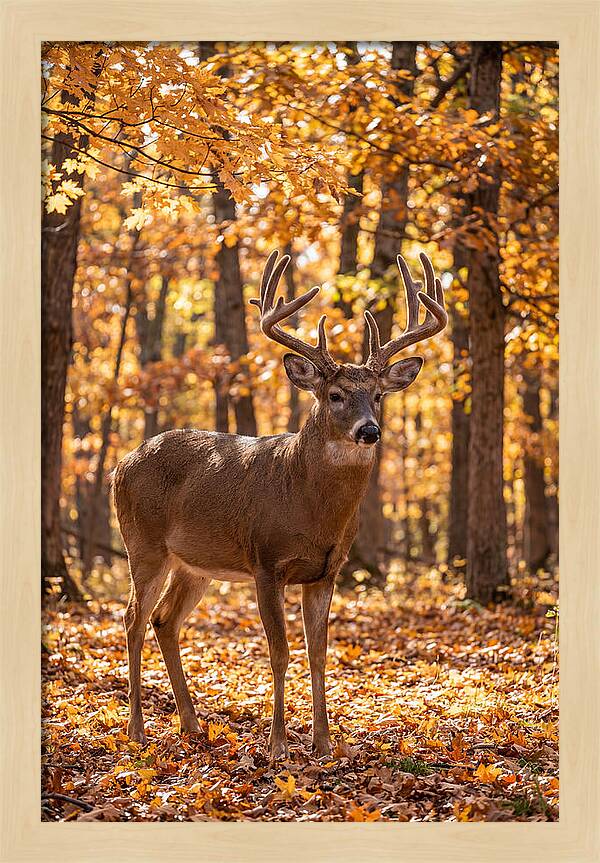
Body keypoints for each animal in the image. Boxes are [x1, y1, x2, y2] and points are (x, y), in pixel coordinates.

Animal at [113, 249, 447, 759]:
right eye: (335, 395)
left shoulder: (327, 572)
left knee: (164, 620)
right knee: (132, 618)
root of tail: (120, 465)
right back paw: (136, 730)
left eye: (377, 395)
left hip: (194, 563)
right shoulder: (266, 562)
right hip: (144, 545)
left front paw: (324, 743)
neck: (309, 506)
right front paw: (277, 744)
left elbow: (318, 653)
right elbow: (279, 651)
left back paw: (191, 724)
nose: (369, 430)